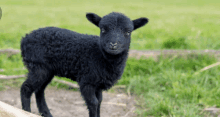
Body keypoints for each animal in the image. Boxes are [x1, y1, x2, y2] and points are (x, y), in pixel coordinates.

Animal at [20, 12, 149, 117]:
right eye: (103, 29)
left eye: (128, 32)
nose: (113, 45)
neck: (99, 55)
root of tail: (24, 39)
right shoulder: (87, 81)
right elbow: (93, 103)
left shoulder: (98, 83)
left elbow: (99, 102)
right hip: (38, 66)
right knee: (26, 88)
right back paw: (26, 112)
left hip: (47, 70)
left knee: (39, 90)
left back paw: (46, 114)